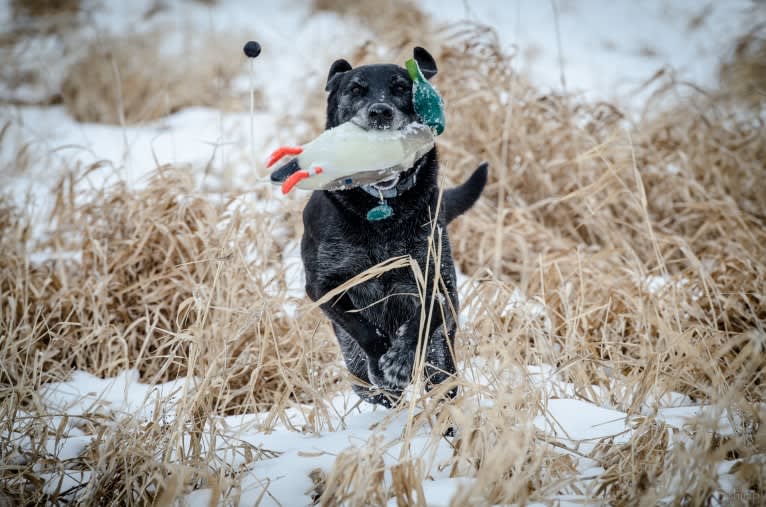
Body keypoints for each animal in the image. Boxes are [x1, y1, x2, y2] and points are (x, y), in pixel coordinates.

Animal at [280, 45, 488, 406]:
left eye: (401, 87)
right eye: (356, 89)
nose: (380, 112)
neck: (382, 208)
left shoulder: (440, 280)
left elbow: (426, 313)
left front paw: (400, 359)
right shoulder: (322, 286)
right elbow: (360, 325)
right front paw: (383, 361)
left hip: (441, 361)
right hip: (355, 368)